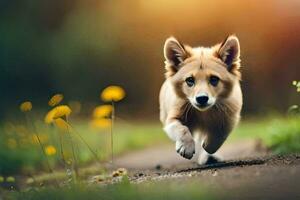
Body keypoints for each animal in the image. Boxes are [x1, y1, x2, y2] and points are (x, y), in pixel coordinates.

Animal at [159, 35, 241, 164]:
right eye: (190, 80)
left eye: (214, 79)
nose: (202, 99)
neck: (203, 113)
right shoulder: (172, 119)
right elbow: (182, 129)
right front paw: (186, 147)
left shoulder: (230, 116)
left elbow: (219, 133)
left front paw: (208, 147)